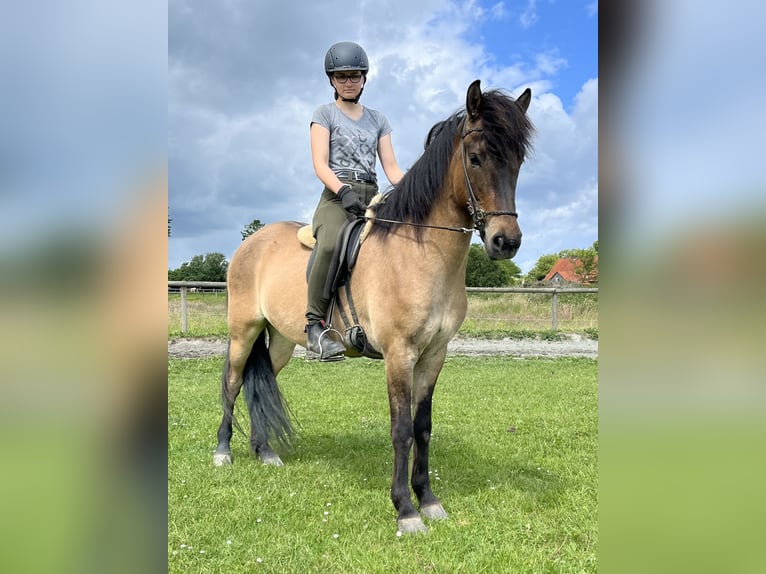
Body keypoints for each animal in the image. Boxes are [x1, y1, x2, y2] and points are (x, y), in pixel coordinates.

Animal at [213, 80, 534, 534]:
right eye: (476, 158)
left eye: (518, 161)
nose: (506, 242)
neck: (420, 252)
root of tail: (252, 242)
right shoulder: (399, 355)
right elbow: (401, 430)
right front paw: (406, 510)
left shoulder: (434, 355)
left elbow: (423, 426)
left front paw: (429, 501)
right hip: (243, 329)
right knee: (234, 380)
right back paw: (223, 451)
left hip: (280, 339)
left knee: (263, 382)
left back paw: (265, 451)